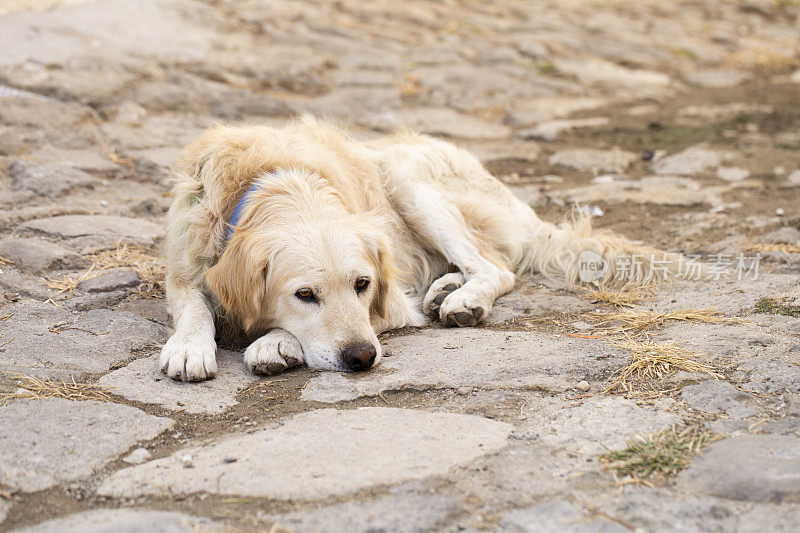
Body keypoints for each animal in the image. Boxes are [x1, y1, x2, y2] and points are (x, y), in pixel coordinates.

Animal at [161, 116, 680, 380]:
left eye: (363, 284)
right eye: (304, 294)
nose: (361, 358)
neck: (276, 182)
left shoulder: (389, 305)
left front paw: (275, 341)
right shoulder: (182, 267)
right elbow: (195, 306)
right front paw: (190, 346)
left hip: (407, 179)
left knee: (497, 268)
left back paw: (464, 300)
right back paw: (447, 288)